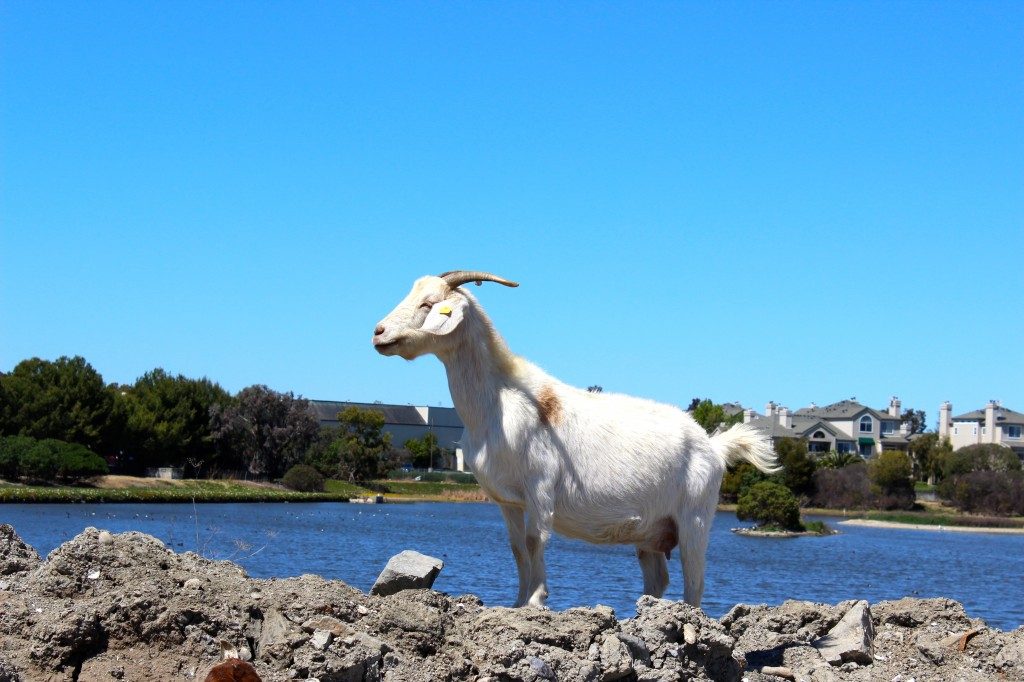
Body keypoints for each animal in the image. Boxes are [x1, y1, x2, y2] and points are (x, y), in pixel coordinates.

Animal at [372, 270, 778, 608]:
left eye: (428, 304)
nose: (378, 333)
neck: (499, 401)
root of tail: (714, 445)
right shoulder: (506, 499)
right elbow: (517, 548)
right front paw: (517, 602)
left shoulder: (540, 487)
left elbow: (536, 540)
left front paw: (536, 601)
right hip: (653, 531)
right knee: (658, 579)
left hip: (695, 518)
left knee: (695, 580)